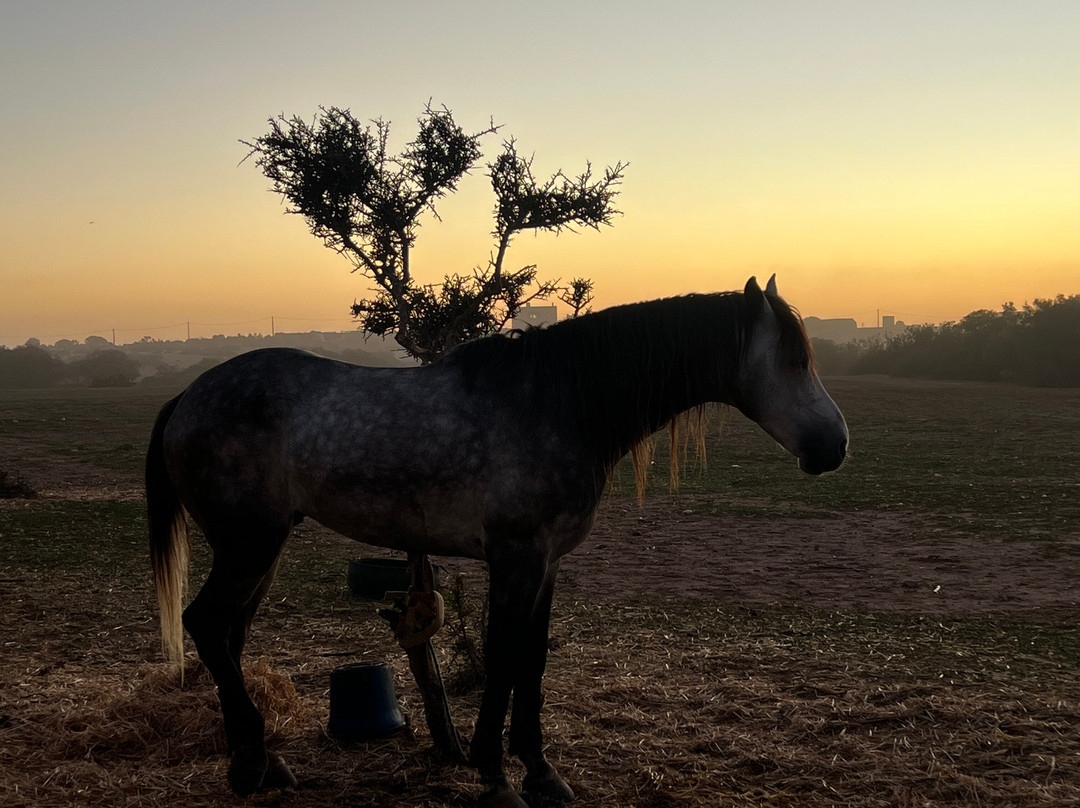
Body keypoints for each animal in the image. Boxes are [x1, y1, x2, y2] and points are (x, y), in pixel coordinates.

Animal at [146, 275, 848, 807]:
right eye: (792, 359)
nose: (834, 446)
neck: (561, 401)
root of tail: (188, 395)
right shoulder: (516, 560)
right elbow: (504, 658)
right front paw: (493, 774)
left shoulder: (546, 564)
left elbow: (532, 662)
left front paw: (540, 772)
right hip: (249, 546)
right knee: (206, 624)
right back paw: (251, 765)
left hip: (259, 551)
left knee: (229, 635)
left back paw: (260, 765)